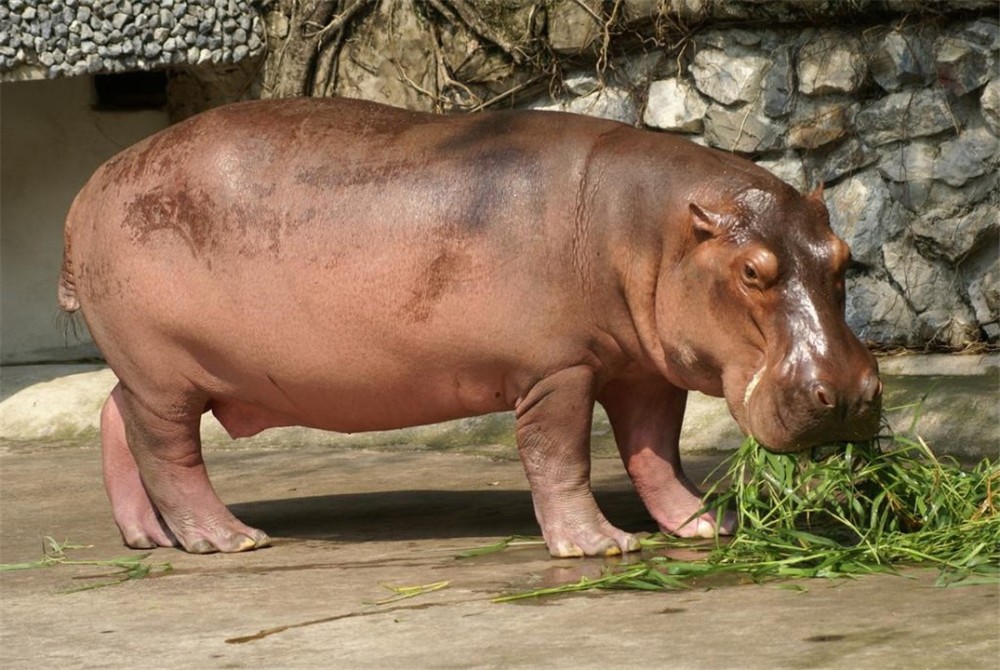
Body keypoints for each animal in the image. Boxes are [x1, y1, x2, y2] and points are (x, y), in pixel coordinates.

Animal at [58, 97, 880, 560]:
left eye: (844, 256)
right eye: (752, 272)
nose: (848, 394)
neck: (654, 229)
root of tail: (87, 190)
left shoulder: (644, 369)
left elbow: (655, 456)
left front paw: (709, 527)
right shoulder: (557, 371)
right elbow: (559, 456)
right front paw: (598, 548)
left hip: (152, 371)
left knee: (114, 420)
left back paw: (147, 537)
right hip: (165, 373)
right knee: (168, 452)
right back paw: (227, 540)